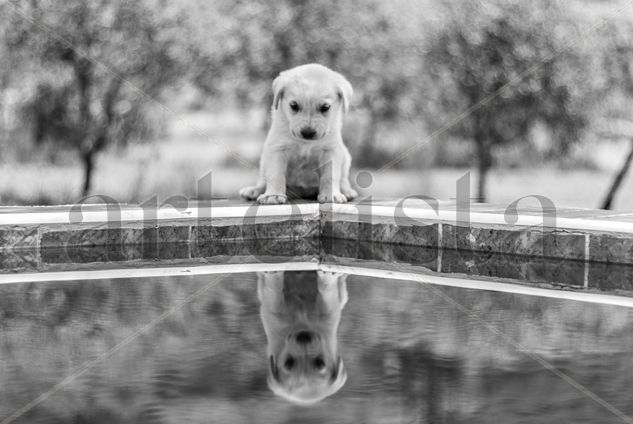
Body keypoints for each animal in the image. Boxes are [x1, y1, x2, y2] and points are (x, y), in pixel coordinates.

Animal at [239, 63, 358, 205]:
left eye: (325, 107)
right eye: (294, 106)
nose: (308, 133)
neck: (305, 143)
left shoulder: (331, 151)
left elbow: (330, 175)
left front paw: (331, 195)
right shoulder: (277, 149)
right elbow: (275, 174)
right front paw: (273, 195)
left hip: (346, 157)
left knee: (343, 180)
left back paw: (347, 191)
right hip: (264, 161)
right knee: (262, 181)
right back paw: (255, 190)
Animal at [256, 270, 348, 406]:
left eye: (320, 363)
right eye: (289, 363)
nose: (303, 338)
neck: (302, 324)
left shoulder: (328, 314)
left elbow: (326, 293)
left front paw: (328, 277)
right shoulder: (275, 315)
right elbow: (275, 292)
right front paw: (272, 274)